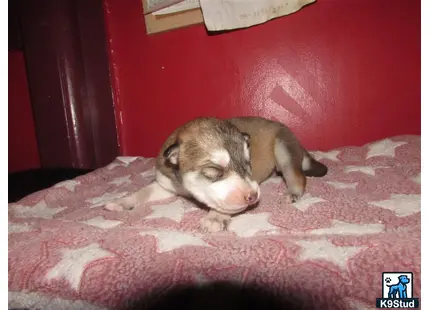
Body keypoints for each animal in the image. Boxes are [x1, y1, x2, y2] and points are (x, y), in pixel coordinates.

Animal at [104, 115, 326, 230]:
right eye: (214, 170)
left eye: (248, 163)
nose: (253, 197)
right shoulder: (165, 183)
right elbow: (144, 192)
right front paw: (121, 202)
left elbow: (225, 205)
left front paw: (215, 218)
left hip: (283, 146)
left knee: (297, 176)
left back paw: (292, 194)